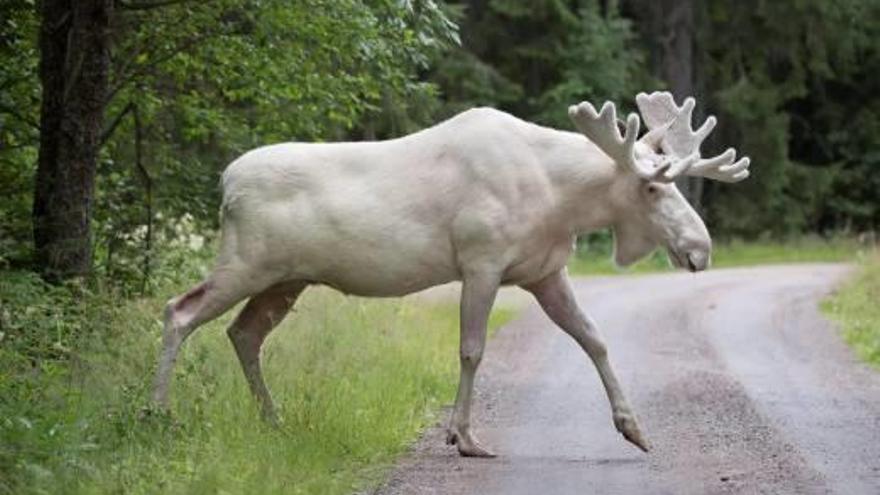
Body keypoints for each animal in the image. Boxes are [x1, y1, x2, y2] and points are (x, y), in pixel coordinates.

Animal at [151, 92, 748, 458]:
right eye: (651, 187)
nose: (700, 249)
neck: (561, 199)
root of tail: (225, 182)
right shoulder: (481, 261)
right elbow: (472, 350)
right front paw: (463, 436)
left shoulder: (545, 271)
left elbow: (595, 339)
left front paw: (634, 427)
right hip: (246, 263)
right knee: (179, 311)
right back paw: (157, 413)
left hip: (285, 279)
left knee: (243, 332)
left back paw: (272, 420)